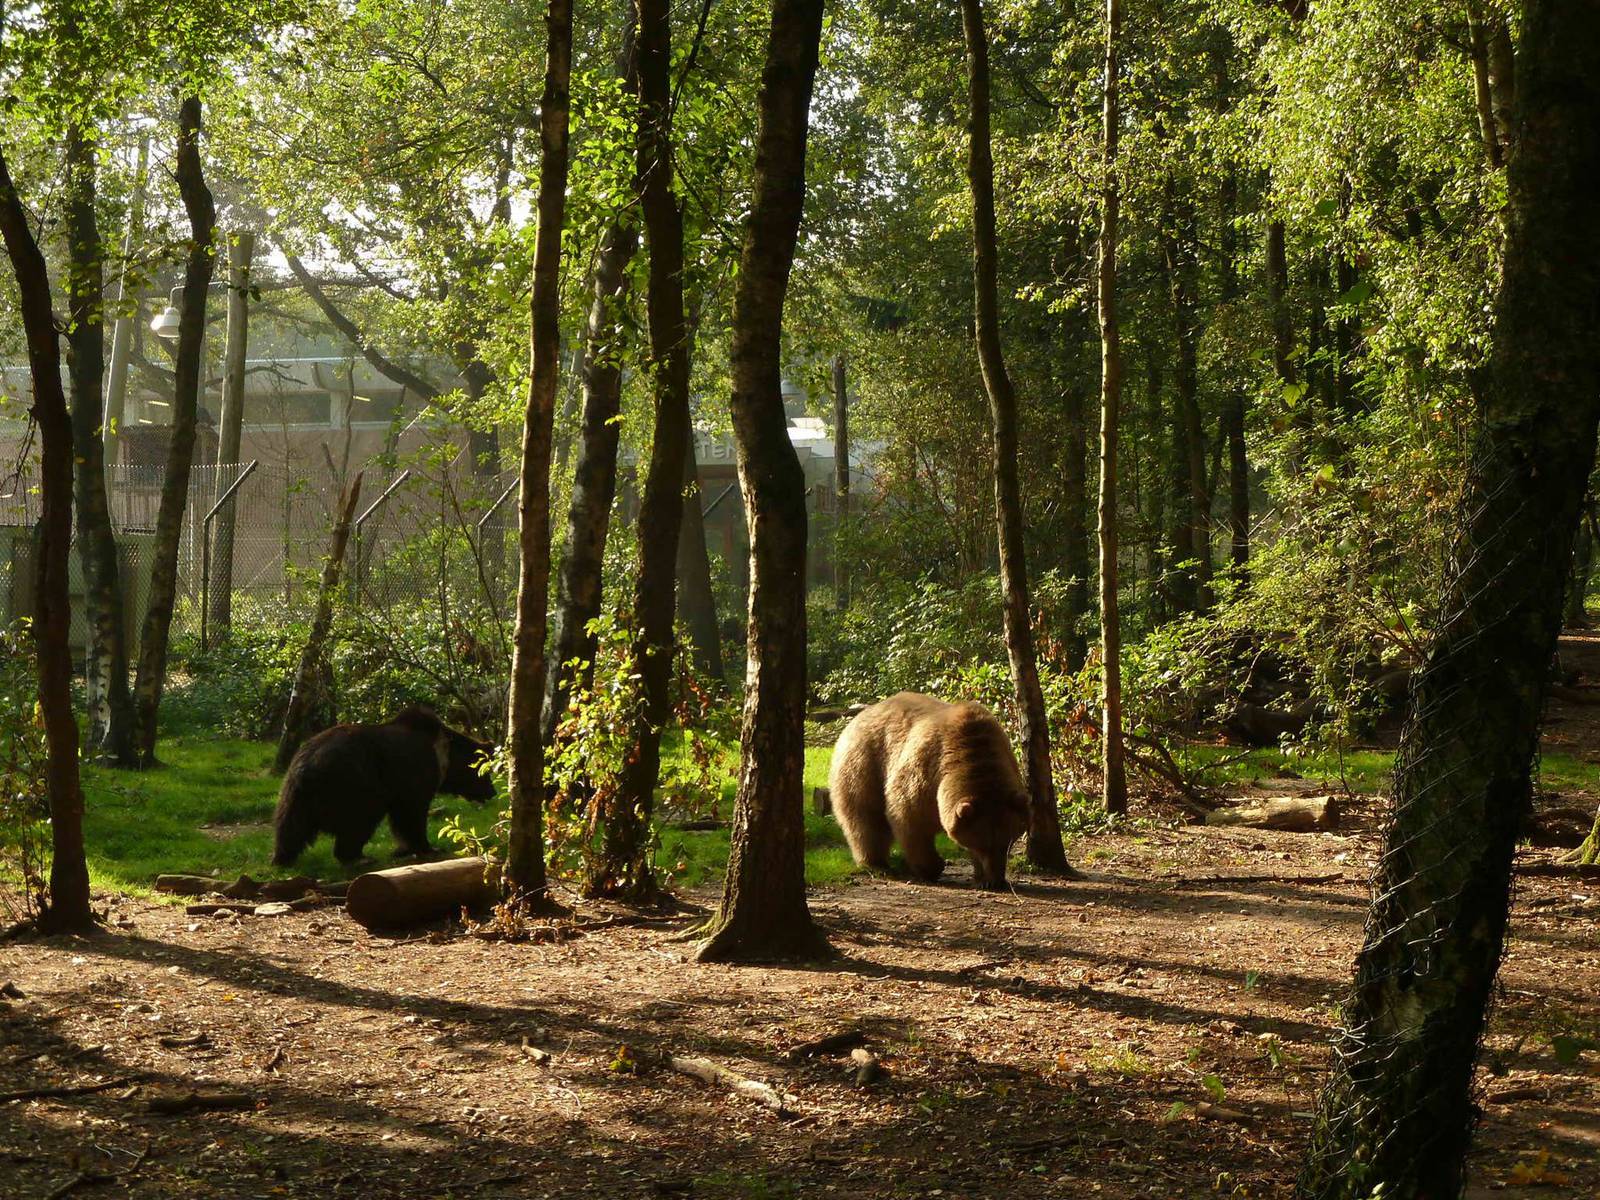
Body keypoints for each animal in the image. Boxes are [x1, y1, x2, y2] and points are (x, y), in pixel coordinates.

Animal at [272, 706, 496, 867]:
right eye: (485, 774)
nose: (492, 793)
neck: (444, 757)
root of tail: (306, 767)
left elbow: (400, 818)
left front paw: (404, 848)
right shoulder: (414, 775)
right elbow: (412, 814)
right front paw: (428, 848)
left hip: (293, 793)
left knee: (290, 825)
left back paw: (282, 857)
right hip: (354, 783)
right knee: (360, 819)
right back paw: (358, 857)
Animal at [828, 691, 1030, 890]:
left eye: (1008, 841)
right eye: (984, 845)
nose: (997, 880)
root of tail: (860, 716)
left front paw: (982, 878)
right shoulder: (925, 775)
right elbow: (909, 819)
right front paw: (932, 867)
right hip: (865, 765)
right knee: (866, 818)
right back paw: (877, 864)